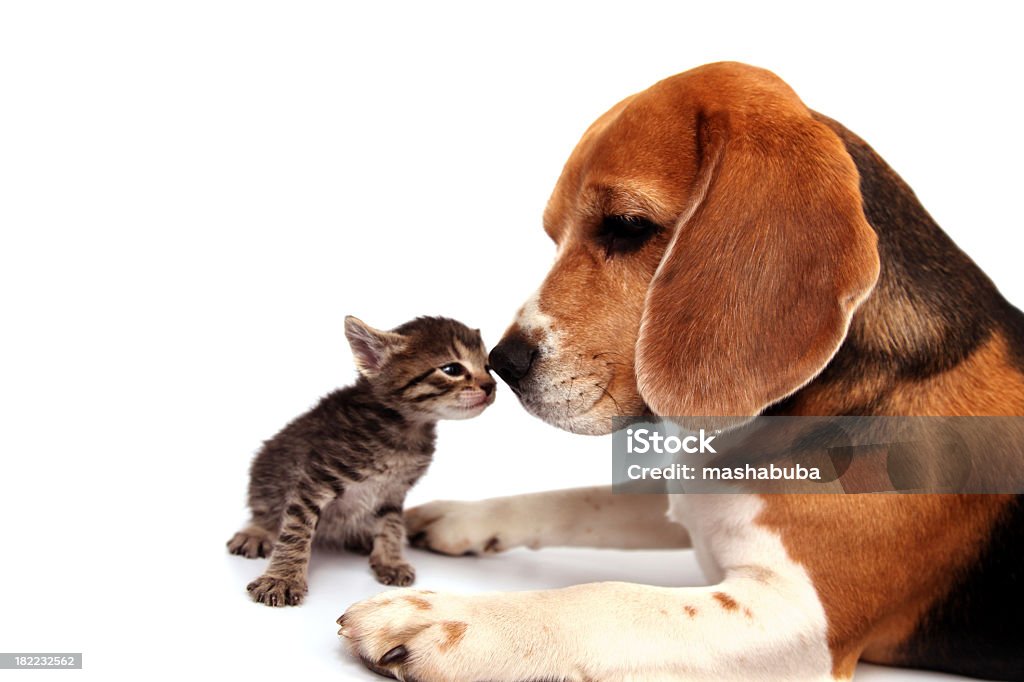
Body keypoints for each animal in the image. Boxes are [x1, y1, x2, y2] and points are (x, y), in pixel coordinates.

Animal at [227, 313, 495, 606]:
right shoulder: (316, 479)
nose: (491, 385)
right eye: (452, 369)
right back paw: (255, 532)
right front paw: (282, 578)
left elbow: (391, 525)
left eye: (488, 367)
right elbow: (296, 531)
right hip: (268, 471)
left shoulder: (393, 492)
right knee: (264, 509)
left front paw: (390, 560)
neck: (404, 429)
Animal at [337, 62, 1024, 679]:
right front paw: (466, 518)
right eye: (554, 235)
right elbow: (576, 499)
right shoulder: (689, 496)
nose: (501, 366)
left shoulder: (804, 619)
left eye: (626, 227)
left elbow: (606, 598)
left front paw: (443, 618)